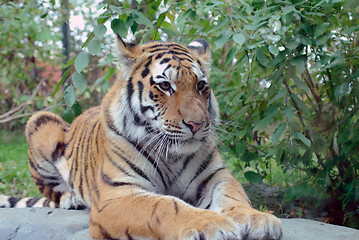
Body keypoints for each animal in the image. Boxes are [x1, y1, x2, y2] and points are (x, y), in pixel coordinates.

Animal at [0, 35, 282, 240]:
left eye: (201, 86)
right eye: (165, 86)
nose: (197, 124)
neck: (171, 154)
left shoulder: (215, 176)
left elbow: (234, 194)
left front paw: (257, 218)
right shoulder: (116, 195)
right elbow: (165, 205)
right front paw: (210, 224)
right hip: (40, 122)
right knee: (52, 192)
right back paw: (71, 199)